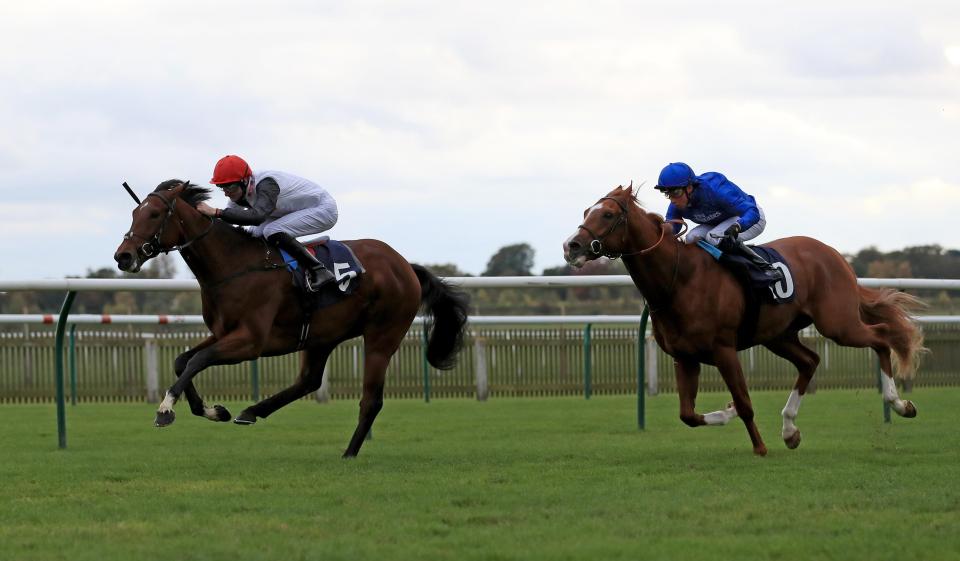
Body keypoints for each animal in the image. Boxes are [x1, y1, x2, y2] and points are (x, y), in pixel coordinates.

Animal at [114, 182, 470, 458]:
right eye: (134, 214)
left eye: (154, 214)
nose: (123, 256)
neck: (234, 266)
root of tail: (406, 266)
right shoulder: (224, 332)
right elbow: (182, 360)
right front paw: (214, 411)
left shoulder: (251, 341)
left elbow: (197, 361)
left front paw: (165, 409)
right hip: (322, 335)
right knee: (309, 381)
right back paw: (251, 411)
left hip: (382, 337)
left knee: (371, 400)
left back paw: (349, 452)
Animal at [564, 184, 924, 456]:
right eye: (585, 212)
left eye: (608, 214)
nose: (572, 246)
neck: (679, 280)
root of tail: (834, 254)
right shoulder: (685, 358)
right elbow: (687, 415)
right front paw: (729, 412)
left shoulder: (724, 350)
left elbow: (745, 402)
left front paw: (759, 447)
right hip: (778, 334)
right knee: (810, 361)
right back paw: (790, 429)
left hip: (838, 324)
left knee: (881, 337)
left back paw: (899, 404)